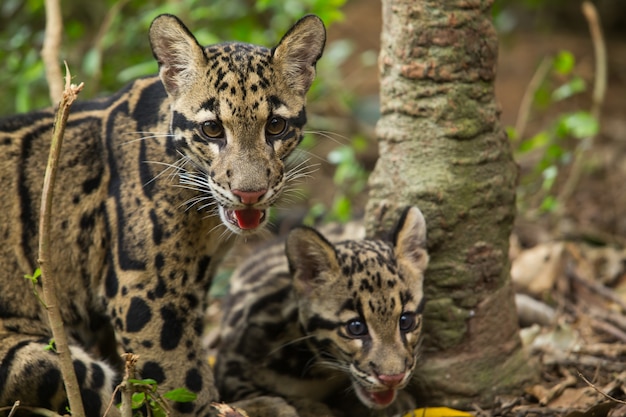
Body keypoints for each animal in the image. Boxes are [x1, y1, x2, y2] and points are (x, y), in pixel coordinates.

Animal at [1, 13, 326, 416]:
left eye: (276, 126)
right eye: (212, 129)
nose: (249, 193)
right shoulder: (148, 293)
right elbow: (180, 380)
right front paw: (217, 407)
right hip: (30, 359)